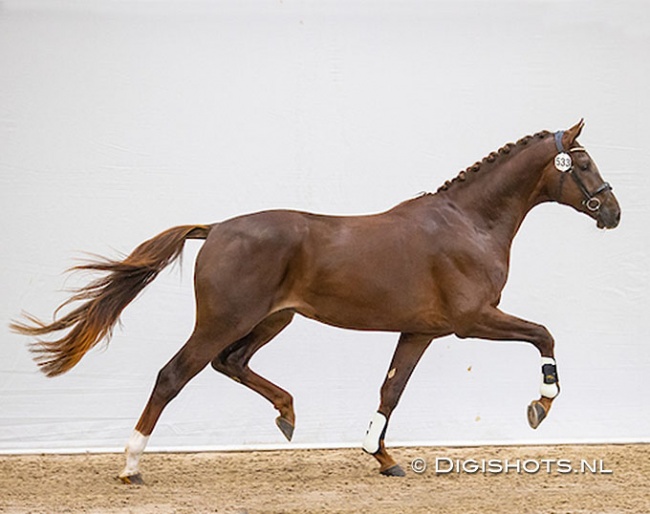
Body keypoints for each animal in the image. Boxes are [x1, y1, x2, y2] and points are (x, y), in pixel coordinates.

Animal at [10, 120, 616, 480]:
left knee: (231, 363)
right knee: (175, 374)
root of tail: (216, 228)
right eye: (584, 163)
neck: (468, 224)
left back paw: (287, 413)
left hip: (271, 319)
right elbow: (544, 334)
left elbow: (391, 390)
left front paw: (382, 457)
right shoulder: (473, 320)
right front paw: (541, 405)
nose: (613, 212)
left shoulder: (421, 330)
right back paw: (132, 464)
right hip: (226, 319)